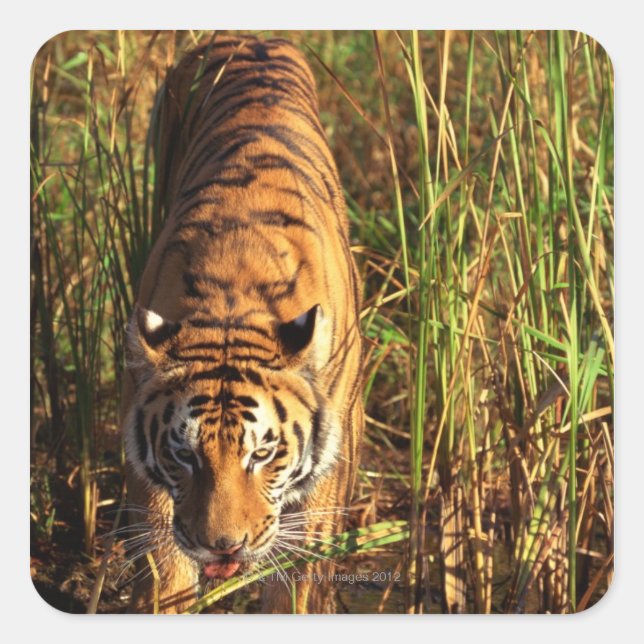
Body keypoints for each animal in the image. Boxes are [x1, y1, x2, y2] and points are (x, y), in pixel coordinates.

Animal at [119, 35, 364, 614]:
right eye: (184, 454)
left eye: (263, 454)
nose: (222, 545)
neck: (234, 301)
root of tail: (253, 36)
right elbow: (166, 562)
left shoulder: (326, 475)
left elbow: (299, 579)